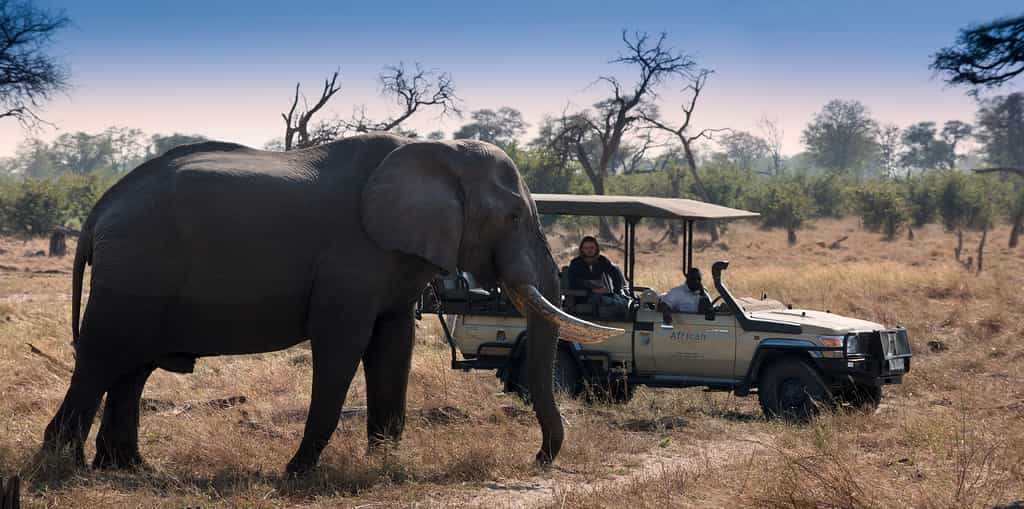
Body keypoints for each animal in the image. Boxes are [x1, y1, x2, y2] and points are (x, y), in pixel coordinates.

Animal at [41, 133, 617, 475]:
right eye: (515, 217)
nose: (539, 460)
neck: (434, 148)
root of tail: (99, 210)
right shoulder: (351, 261)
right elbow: (342, 345)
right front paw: (297, 472)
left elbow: (393, 347)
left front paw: (382, 466)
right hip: (136, 267)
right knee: (103, 358)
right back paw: (60, 468)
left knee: (131, 367)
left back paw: (131, 470)